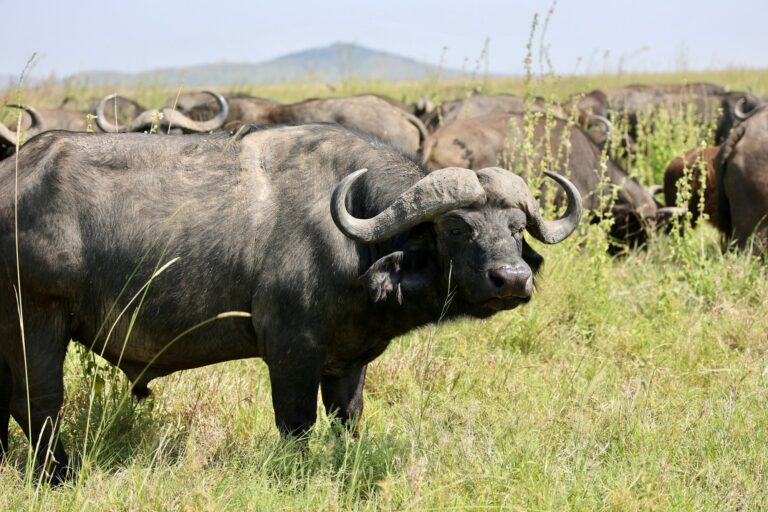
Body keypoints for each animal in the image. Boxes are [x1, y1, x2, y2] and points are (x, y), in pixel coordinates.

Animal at [0, 124, 581, 482]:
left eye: (515, 227)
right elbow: (296, 424)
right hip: (36, 320)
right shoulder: (291, 352)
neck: (353, 238)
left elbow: (348, 420)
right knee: (37, 403)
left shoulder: (347, 362)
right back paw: (60, 477)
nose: (512, 278)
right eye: (457, 228)